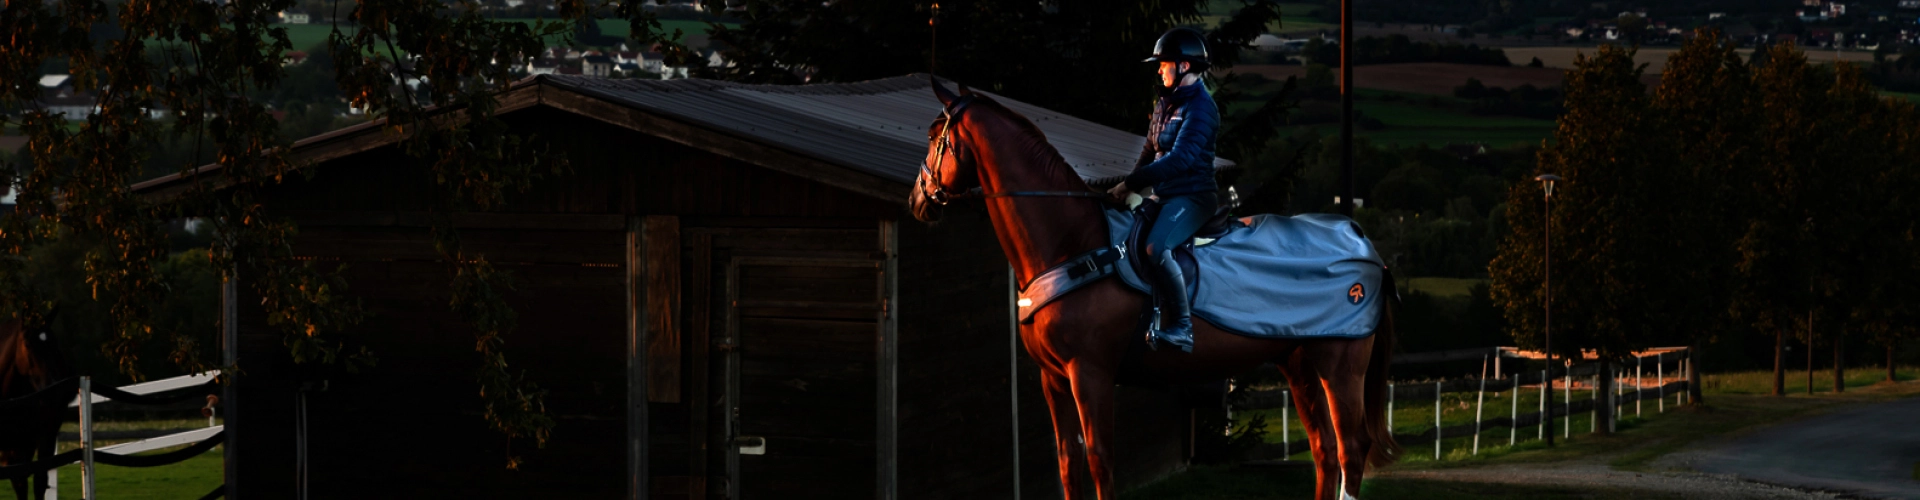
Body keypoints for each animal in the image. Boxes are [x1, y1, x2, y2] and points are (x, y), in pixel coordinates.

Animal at [907, 81, 1399, 500]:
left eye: (934, 134)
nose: (918, 200)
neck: (1073, 244)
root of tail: (1364, 243)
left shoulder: (1090, 374)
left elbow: (1100, 462)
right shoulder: (1054, 378)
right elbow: (1068, 463)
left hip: (1340, 367)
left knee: (1350, 450)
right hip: (1298, 364)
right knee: (1324, 451)